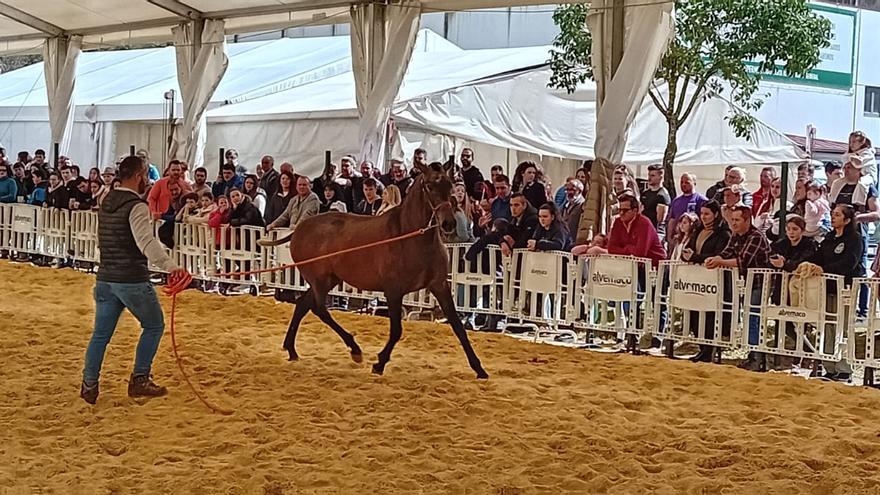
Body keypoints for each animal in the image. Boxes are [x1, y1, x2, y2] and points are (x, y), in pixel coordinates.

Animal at [264, 162, 492, 380]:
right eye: (429, 186)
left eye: (450, 185)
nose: (448, 224)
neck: (411, 238)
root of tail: (299, 229)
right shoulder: (393, 291)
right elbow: (396, 331)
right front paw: (379, 363)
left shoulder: (439, 286)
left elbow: (458, 326)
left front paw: (479, 369)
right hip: (319, 279)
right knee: (319, 308)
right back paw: (354, 350)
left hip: (329, 279)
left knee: (303, 304)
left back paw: (292, 350)